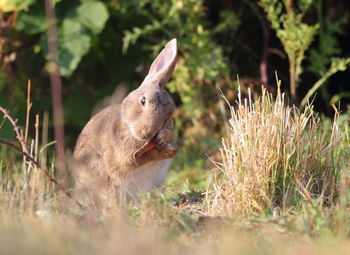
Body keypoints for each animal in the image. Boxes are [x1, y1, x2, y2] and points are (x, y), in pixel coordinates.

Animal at [73, 38, 179, 205]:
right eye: (143, 101)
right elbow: (136, 160)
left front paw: (166, 142)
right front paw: (164, 150)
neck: (129, 130)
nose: (147, 133)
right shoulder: (121, 159)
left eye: (168, 116)